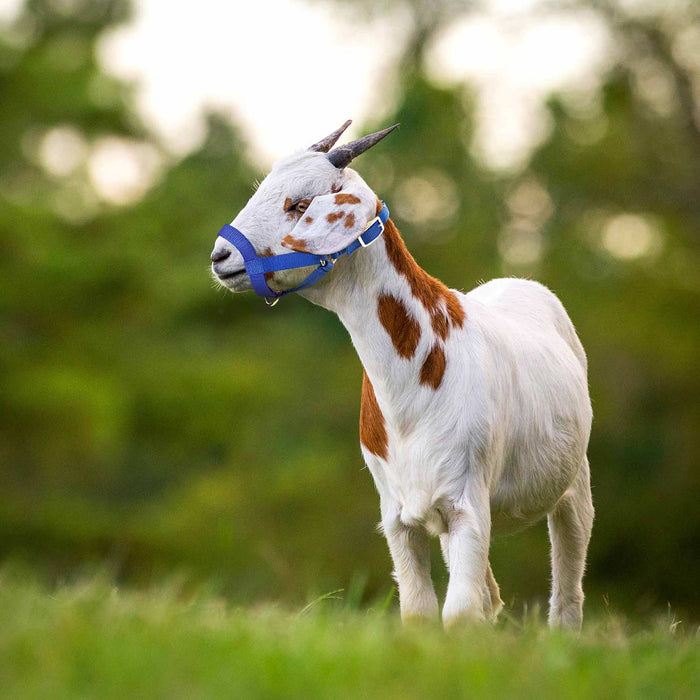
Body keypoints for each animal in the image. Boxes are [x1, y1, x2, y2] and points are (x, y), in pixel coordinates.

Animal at [210, 121, 594, 629]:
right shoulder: (395, 512)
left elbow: (460, 613)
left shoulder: (467, 503)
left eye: (300, 204)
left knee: (568, 584)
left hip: (575, 480)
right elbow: (420, 612)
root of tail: (520, 283)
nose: (220, 256)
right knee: (491, 596)